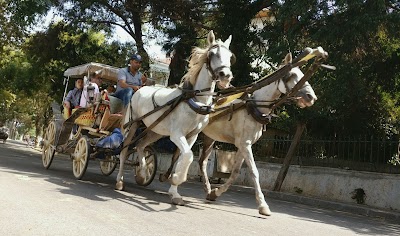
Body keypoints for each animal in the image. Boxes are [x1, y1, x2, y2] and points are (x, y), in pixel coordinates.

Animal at [115, 30, 234, 205]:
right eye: (212, 54)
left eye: (230, 56)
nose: (225, 75)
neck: (193, 99)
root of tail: (138, 89)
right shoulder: (177, 134)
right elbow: (188, 156)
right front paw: (176, 178)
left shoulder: (191, 136)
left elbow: (183, 157)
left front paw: (175, 192)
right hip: (132, 126)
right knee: (124, 150)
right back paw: (120, 180)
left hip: (155, 131)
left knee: (141, 146)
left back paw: (142, 173)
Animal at [161, 49, 320, 216]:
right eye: (292, 75)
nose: (311, 97)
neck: (253, 106)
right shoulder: (244, 144)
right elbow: (255, 172)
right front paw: (263, 205)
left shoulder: (243, 145)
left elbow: (235, 173)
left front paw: (215, 193)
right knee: (180, 155)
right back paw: (170, 177)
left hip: (209, 138)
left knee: (202, 161)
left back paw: (206, 188)